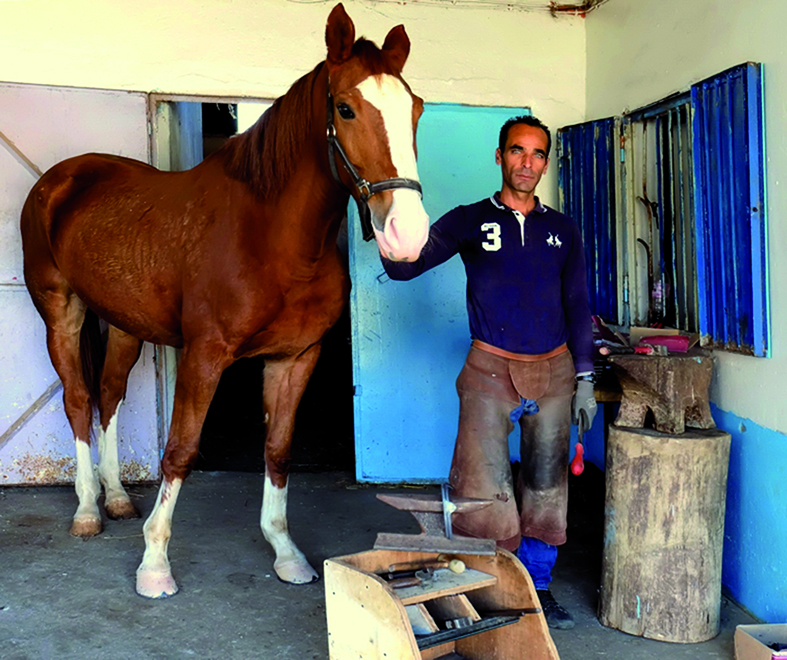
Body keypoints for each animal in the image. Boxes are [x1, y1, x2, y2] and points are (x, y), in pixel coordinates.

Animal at [20, 3, 429, 598]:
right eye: (346, 109)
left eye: (416, 110)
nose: (408, 233)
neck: (272, 239)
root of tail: (62, 178)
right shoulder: (204, 356)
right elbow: (180, 450)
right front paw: (154, 564)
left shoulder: (295, 358)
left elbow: (278, 451)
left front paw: (286, 553)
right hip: (60, 311)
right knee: (77, 398)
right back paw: (88, 510)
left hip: (124, 323)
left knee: (109, 394)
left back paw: (115, 497)